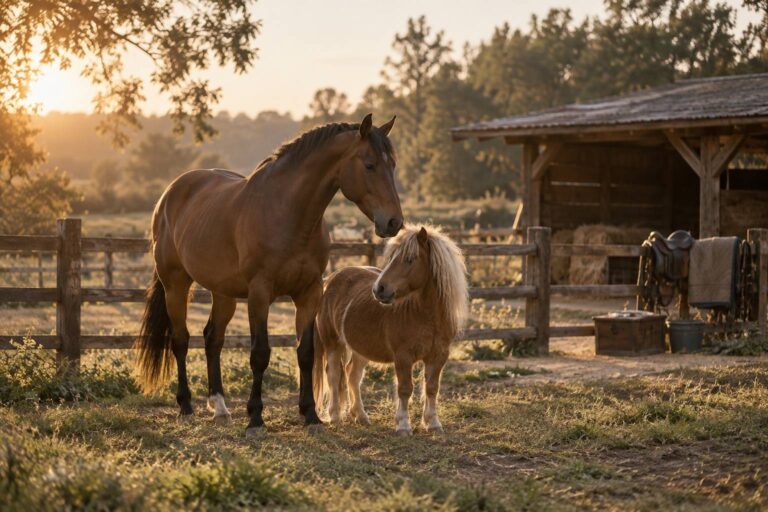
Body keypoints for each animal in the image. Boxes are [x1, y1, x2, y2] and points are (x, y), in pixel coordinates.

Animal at [135, 114, 403, 435]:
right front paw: (255, 417)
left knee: (213, 339)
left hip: (223, 293)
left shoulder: (309, 293)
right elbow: (260, 353)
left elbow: (305, 352)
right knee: (181, 340)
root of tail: (169, 194)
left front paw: (310, 414)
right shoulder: (260, 294)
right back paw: (186, 405)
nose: (394, 222)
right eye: (369, 164)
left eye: (393, 165)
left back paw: (220, 407)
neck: (287, 214)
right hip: (175, 284)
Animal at [313, 225, 468, 434]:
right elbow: (405, 388)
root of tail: (330, 279)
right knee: (334, 374)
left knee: (353, 375)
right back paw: (335, 416)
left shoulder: (439, 356)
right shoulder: (403, 356)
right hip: (333, 343)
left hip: (361, 348)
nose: (379, 289)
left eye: (409, 259)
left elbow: (432, 387)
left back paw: (360, 416)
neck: (427, 317)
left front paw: (433, 423)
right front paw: (403, 425)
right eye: (393, 257)